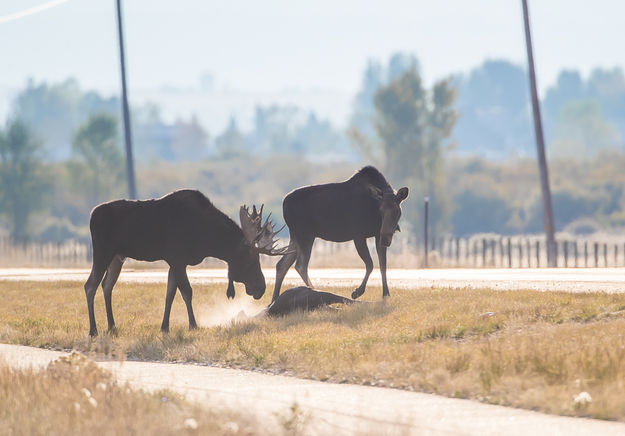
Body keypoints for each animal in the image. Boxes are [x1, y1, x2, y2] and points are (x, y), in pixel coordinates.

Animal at [83, 189, 288, 336]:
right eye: (250, 260)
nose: (261, 288)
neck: (208, 240)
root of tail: (91, 215)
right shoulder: (177, 259)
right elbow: (187, 292)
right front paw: (193, 324)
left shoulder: (175, 262)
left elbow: (170, 294)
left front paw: (164, 327)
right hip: (103, 251)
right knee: (90, 285)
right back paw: (93, 330)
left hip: (117, 257)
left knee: (107, 285)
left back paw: (112, 326)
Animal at [270, 165, 408, 302]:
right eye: (381, 209)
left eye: (397, 210)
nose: (386, 239)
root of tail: (283, 204)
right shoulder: (358, 235)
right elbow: (370, 264)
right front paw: (357, 292)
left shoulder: (377, 234)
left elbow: (383, 264)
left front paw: (386, 294)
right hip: (305, 234)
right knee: (300, 265)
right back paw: (314, 291)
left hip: (295, 235)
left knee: (282, 264)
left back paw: (274, 299)